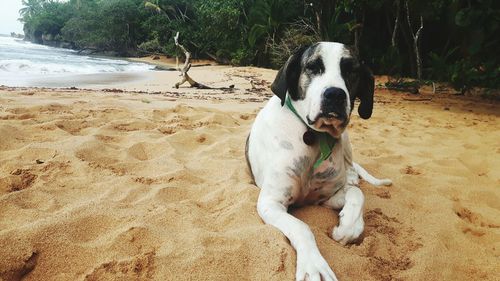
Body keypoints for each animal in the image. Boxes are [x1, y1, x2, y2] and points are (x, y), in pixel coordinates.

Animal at [246, 42, 390, 280]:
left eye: (351, 71)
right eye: (313, 67)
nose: (335, 94)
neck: (314, 136)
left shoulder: (325, 197)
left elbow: (356, 194)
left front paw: (348, 228)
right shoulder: (271, 203)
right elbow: (302, 227)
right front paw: (313, 265)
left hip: (347, 141)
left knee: (352, 170)